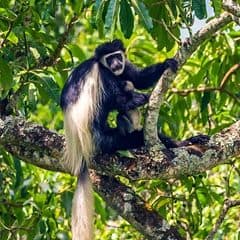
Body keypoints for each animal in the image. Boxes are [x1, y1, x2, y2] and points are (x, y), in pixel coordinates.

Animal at [60, 38, 178, 239]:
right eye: (110, 59)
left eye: (117, 56)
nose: (116, 64)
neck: (102, 64)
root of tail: (81, 149)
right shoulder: (102, 74)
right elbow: (114, 95)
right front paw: (138, 99)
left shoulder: (124, 67)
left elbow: (138, 77)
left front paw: (166, 64)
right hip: (100, 137)